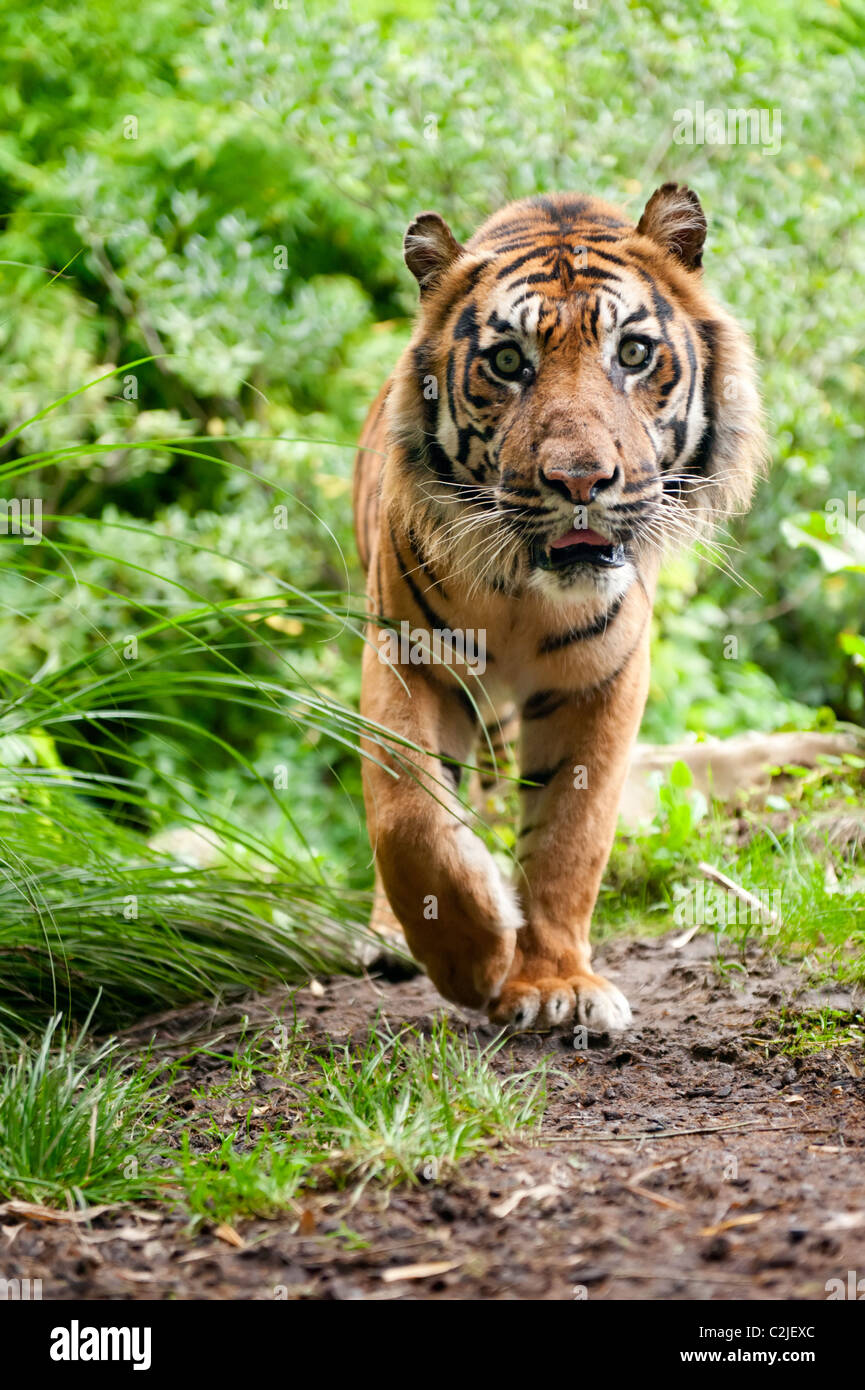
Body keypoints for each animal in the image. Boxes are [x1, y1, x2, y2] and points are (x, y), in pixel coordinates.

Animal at [353, 184, 767, 1034]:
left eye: (633, 354)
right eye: (509, 363)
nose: (580, 480)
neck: (525, 596)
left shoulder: (600, 681)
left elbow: (567, 839)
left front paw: (552, 986)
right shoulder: (406, 657)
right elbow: (408, 815)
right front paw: (471, 957)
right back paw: (391, 938)